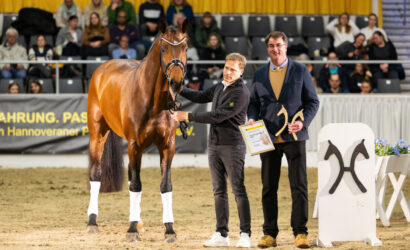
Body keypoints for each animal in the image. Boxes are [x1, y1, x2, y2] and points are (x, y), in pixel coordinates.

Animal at [86, 19, 189, 242]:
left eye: (185, 48)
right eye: (164, 48)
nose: (176, 83)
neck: (153, 101)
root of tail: (103, 68)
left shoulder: (167, 146)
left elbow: (165, 185)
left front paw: (169, 229)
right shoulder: (135, 145)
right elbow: (136, 185)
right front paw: (132, 229)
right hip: (97, 135)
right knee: (96, 174)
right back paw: (92, 221)